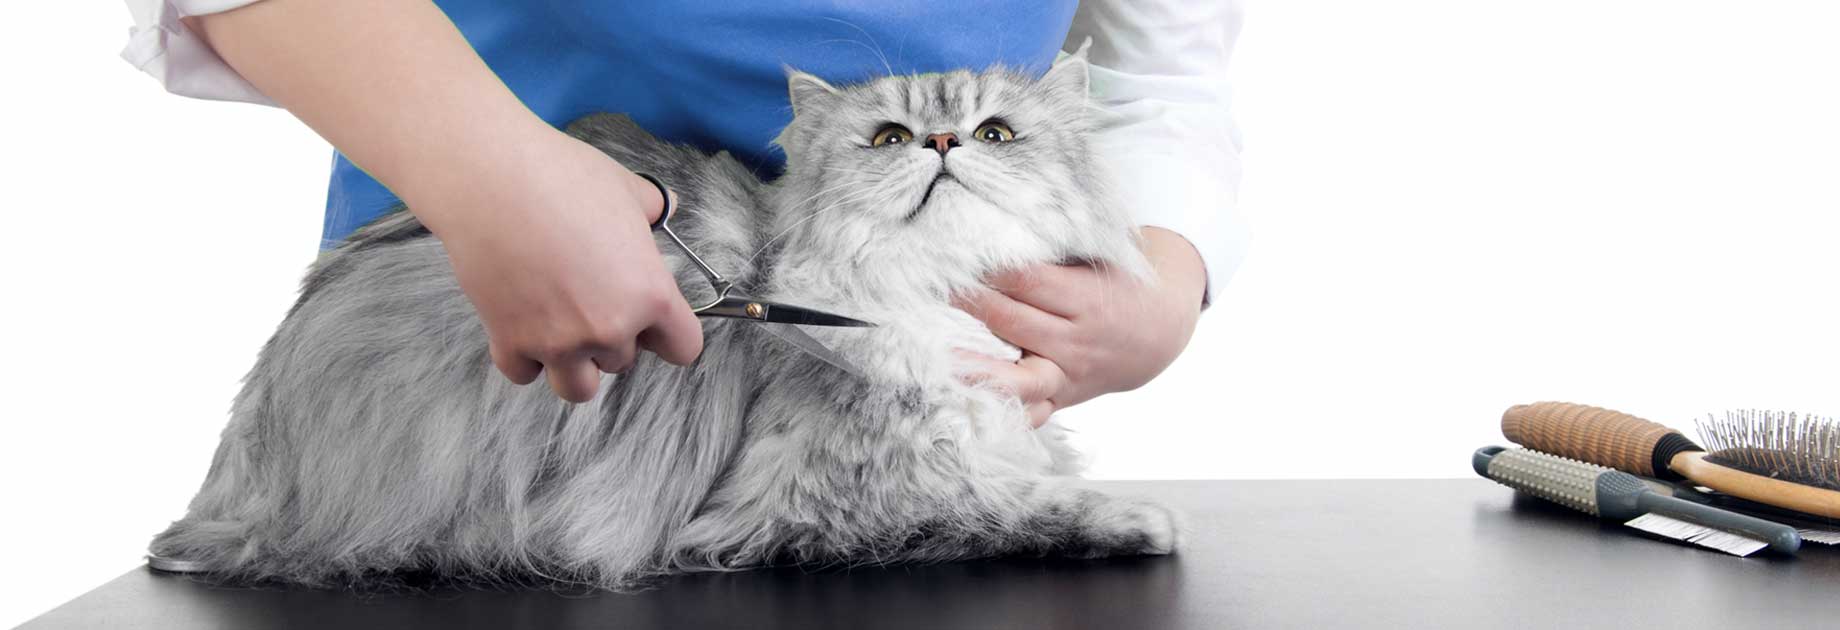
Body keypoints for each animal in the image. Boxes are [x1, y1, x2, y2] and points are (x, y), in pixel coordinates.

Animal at [147, 51, 1177, 589]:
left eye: (998, 132)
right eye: (888, 138)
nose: (944, 141)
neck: (921, 294)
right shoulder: (819, 504)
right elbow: (1015, 505)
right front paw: (1141, 515)